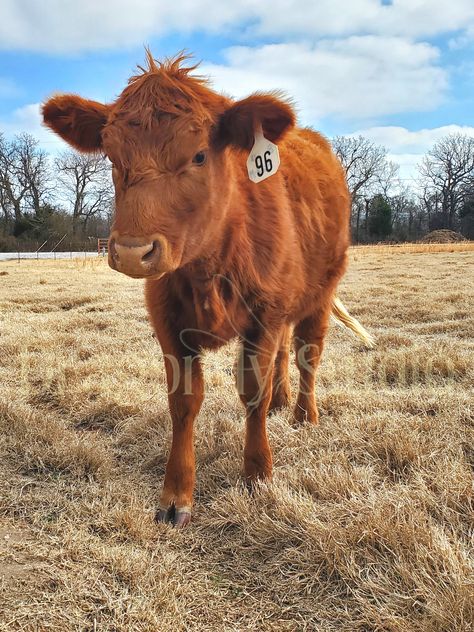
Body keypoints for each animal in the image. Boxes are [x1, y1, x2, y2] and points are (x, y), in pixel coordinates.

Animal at [42, 53, 372, 528]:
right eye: (112, 156)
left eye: (199, 155)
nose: (132, 251)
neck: (208, 269)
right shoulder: (168, 320)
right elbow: (184, 401)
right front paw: (176, 495)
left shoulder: (264, 314)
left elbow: (252, 391)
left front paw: (258, 474)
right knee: (285, 355)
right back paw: (282, 402)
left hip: (321, 293)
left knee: (308, 352)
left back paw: (303, 414)